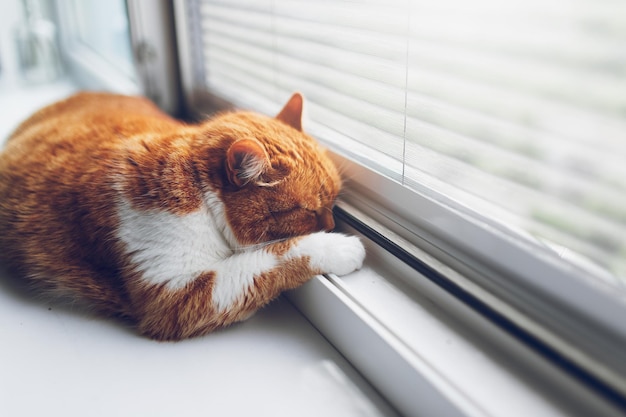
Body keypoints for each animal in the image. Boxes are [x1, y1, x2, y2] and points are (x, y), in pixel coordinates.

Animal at [0, 91, 364, 338]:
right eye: (311, 211)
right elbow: (275, 257)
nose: (333, 224)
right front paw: (341, 247)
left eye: (334, 202)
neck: (197, 192)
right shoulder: (173, 296)